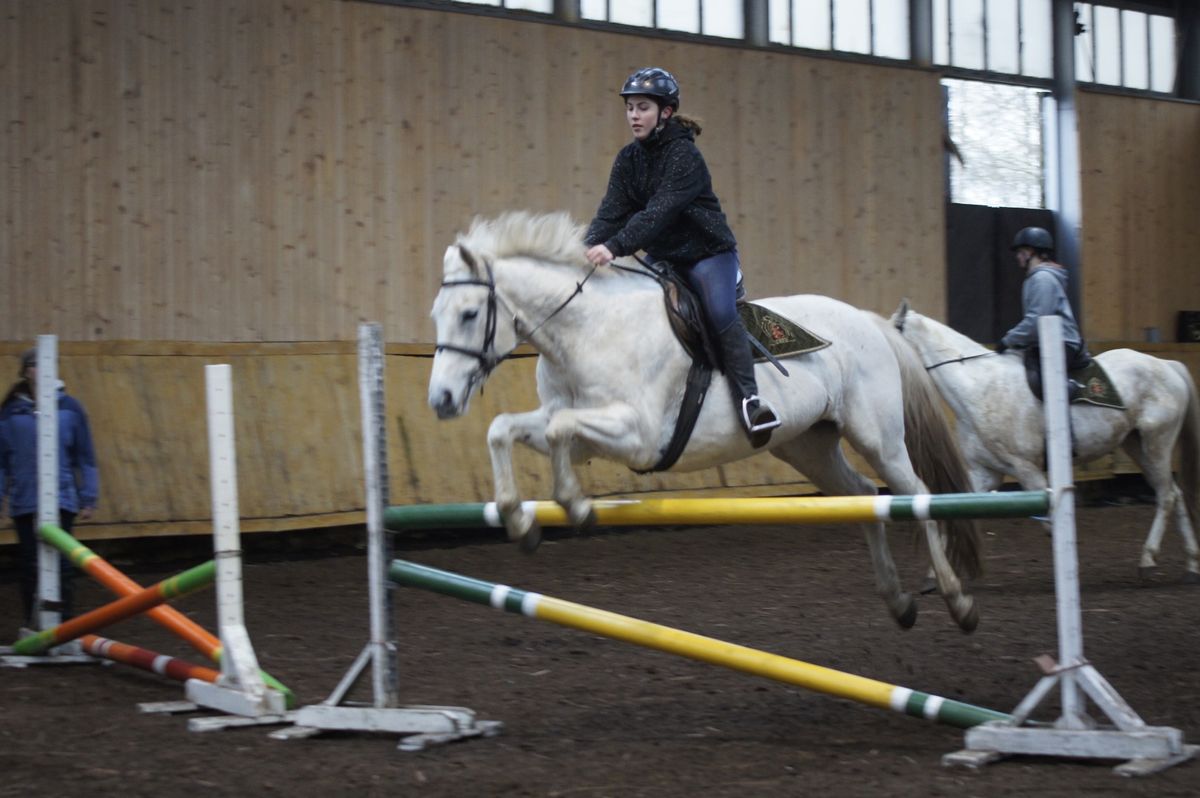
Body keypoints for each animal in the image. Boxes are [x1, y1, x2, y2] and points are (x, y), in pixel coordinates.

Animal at [432, 210, 984, 628]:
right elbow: (508, 428)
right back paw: (899, 602)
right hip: (809, 447)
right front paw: (519, 521)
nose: (441, 399)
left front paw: (575, 505)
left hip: (879, 439)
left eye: (468, 314)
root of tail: (865, 319)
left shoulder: (638, 435)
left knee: (917, 497)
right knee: (866, 499)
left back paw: (959, 601)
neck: (589, 330)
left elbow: (557, 429)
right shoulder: (583, 427)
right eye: (436, 315)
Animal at [892, 298, 1200, 578]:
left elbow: (1051, 525)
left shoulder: (1028, 471)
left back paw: (1149, 559)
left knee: (1166, 495)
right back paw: (1191, 562)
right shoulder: (984, 472)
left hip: (1157, 444)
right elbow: (955, 511)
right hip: (1137, 445)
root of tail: (1167, 365)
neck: (979, 388)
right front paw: (937, 574)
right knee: (1174, 493)